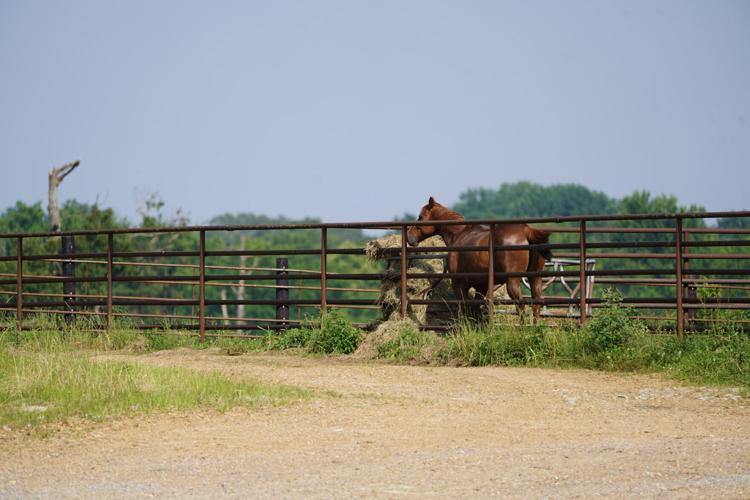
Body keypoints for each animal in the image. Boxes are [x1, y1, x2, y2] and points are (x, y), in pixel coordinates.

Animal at [406, 196, 553, 322]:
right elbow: (476, 308)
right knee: (536, 304)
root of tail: (526, 231)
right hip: (535, 278)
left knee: (521, 305)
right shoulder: (481, 286)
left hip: (512, 281)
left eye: (420, 217)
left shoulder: (459, 284)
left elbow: (466, 307)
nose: (409, 237)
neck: (459, 234)